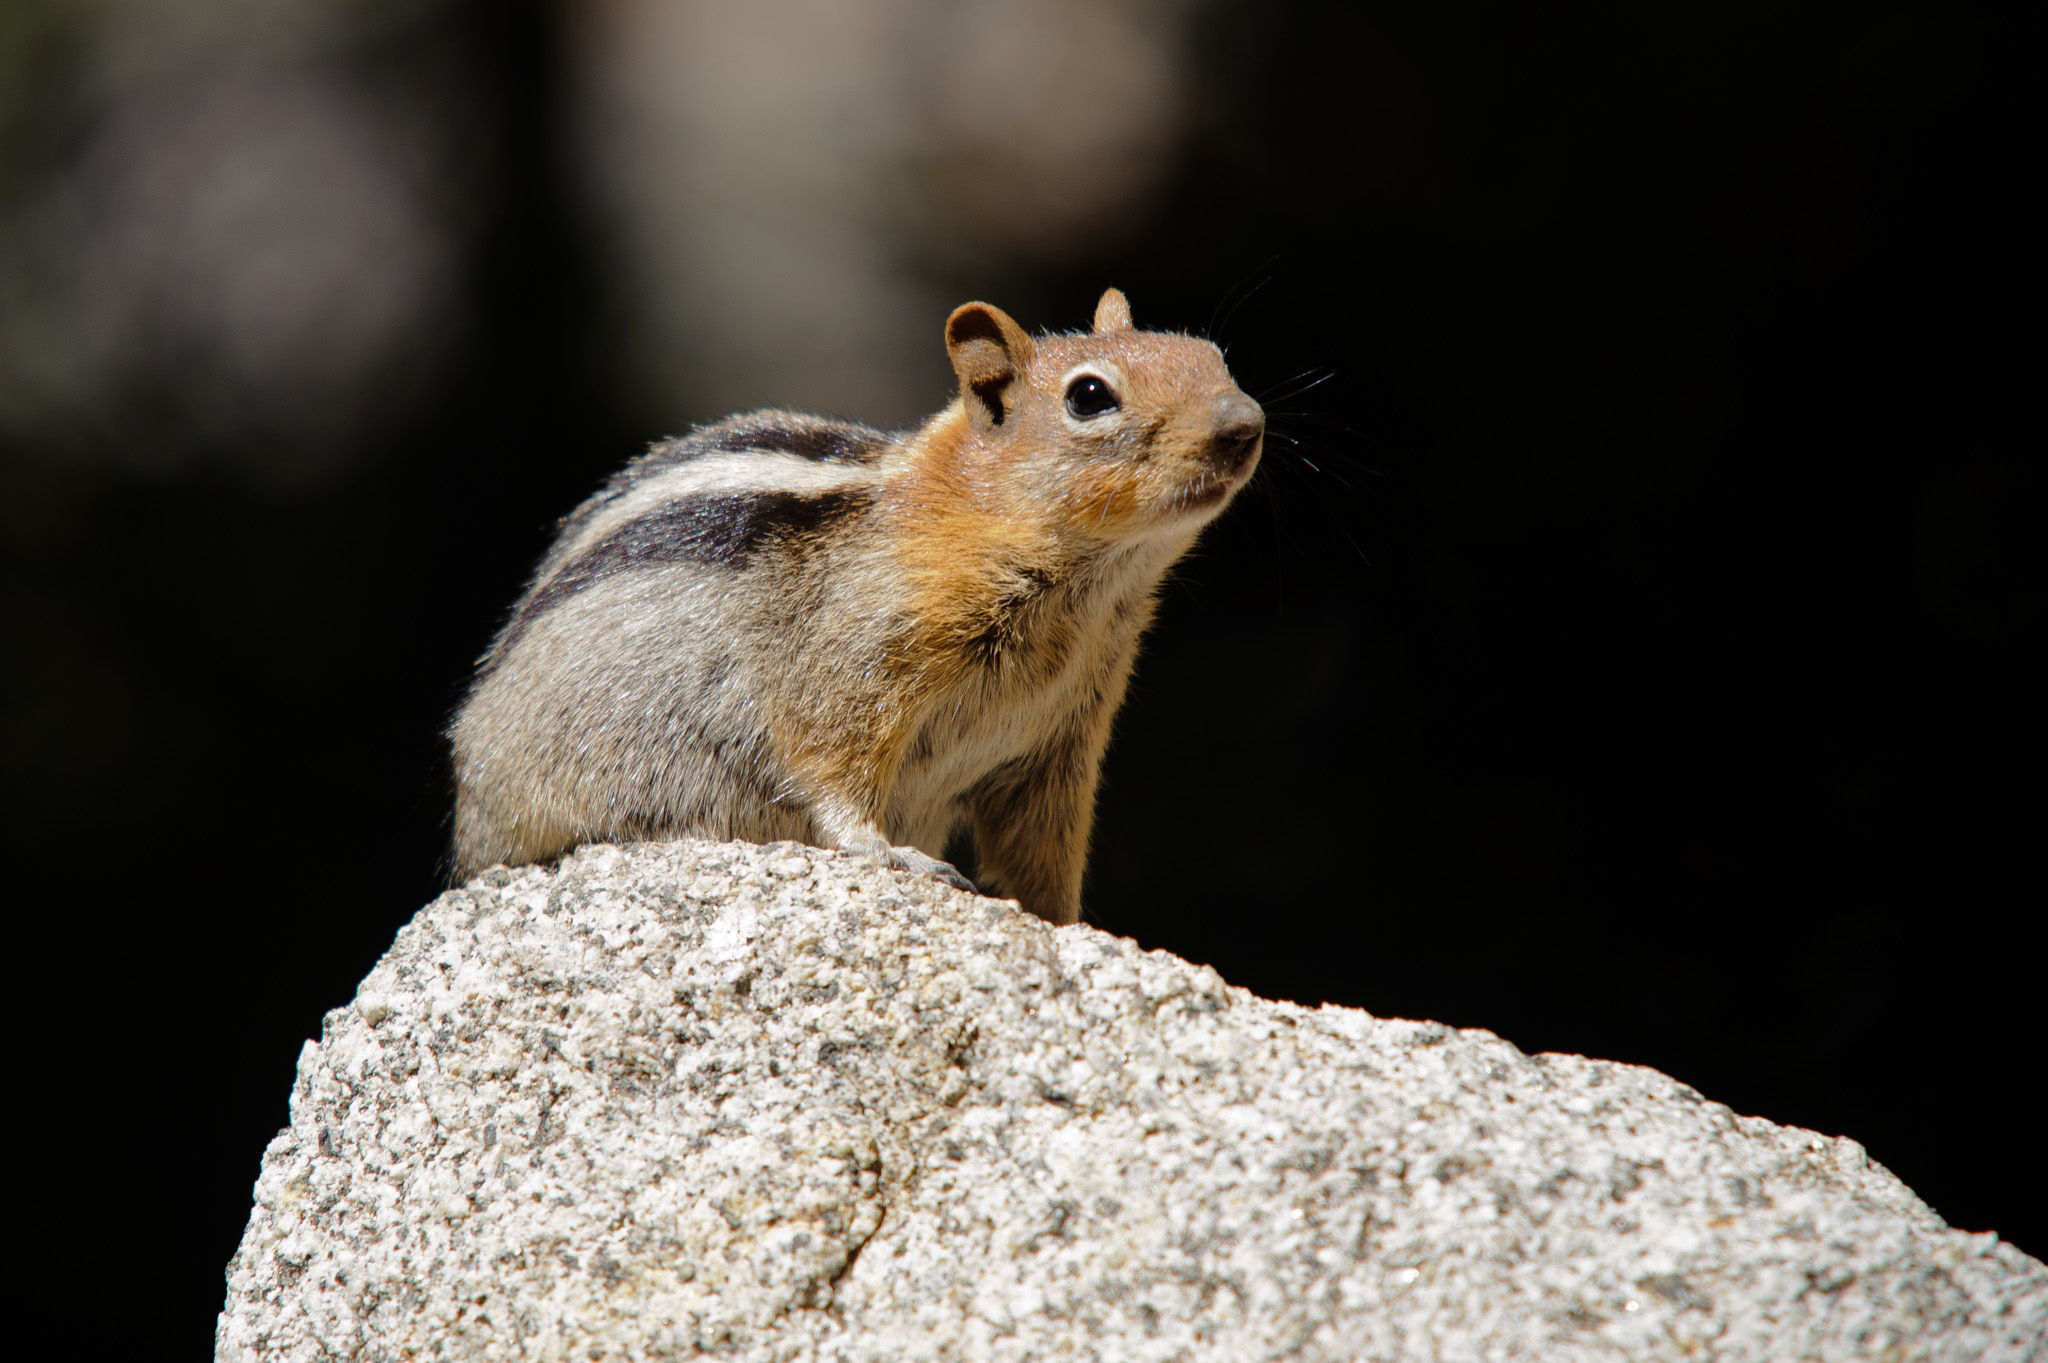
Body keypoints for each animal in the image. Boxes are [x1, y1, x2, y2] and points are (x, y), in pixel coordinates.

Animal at [450, 288, 1263, 925]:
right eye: (1090, 396)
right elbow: (829, 767)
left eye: (1209, 353)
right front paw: (891, 852)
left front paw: (1070, 925)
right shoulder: (854, 662)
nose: (1245, 423)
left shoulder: (1061, 740)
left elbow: (1040, 848)